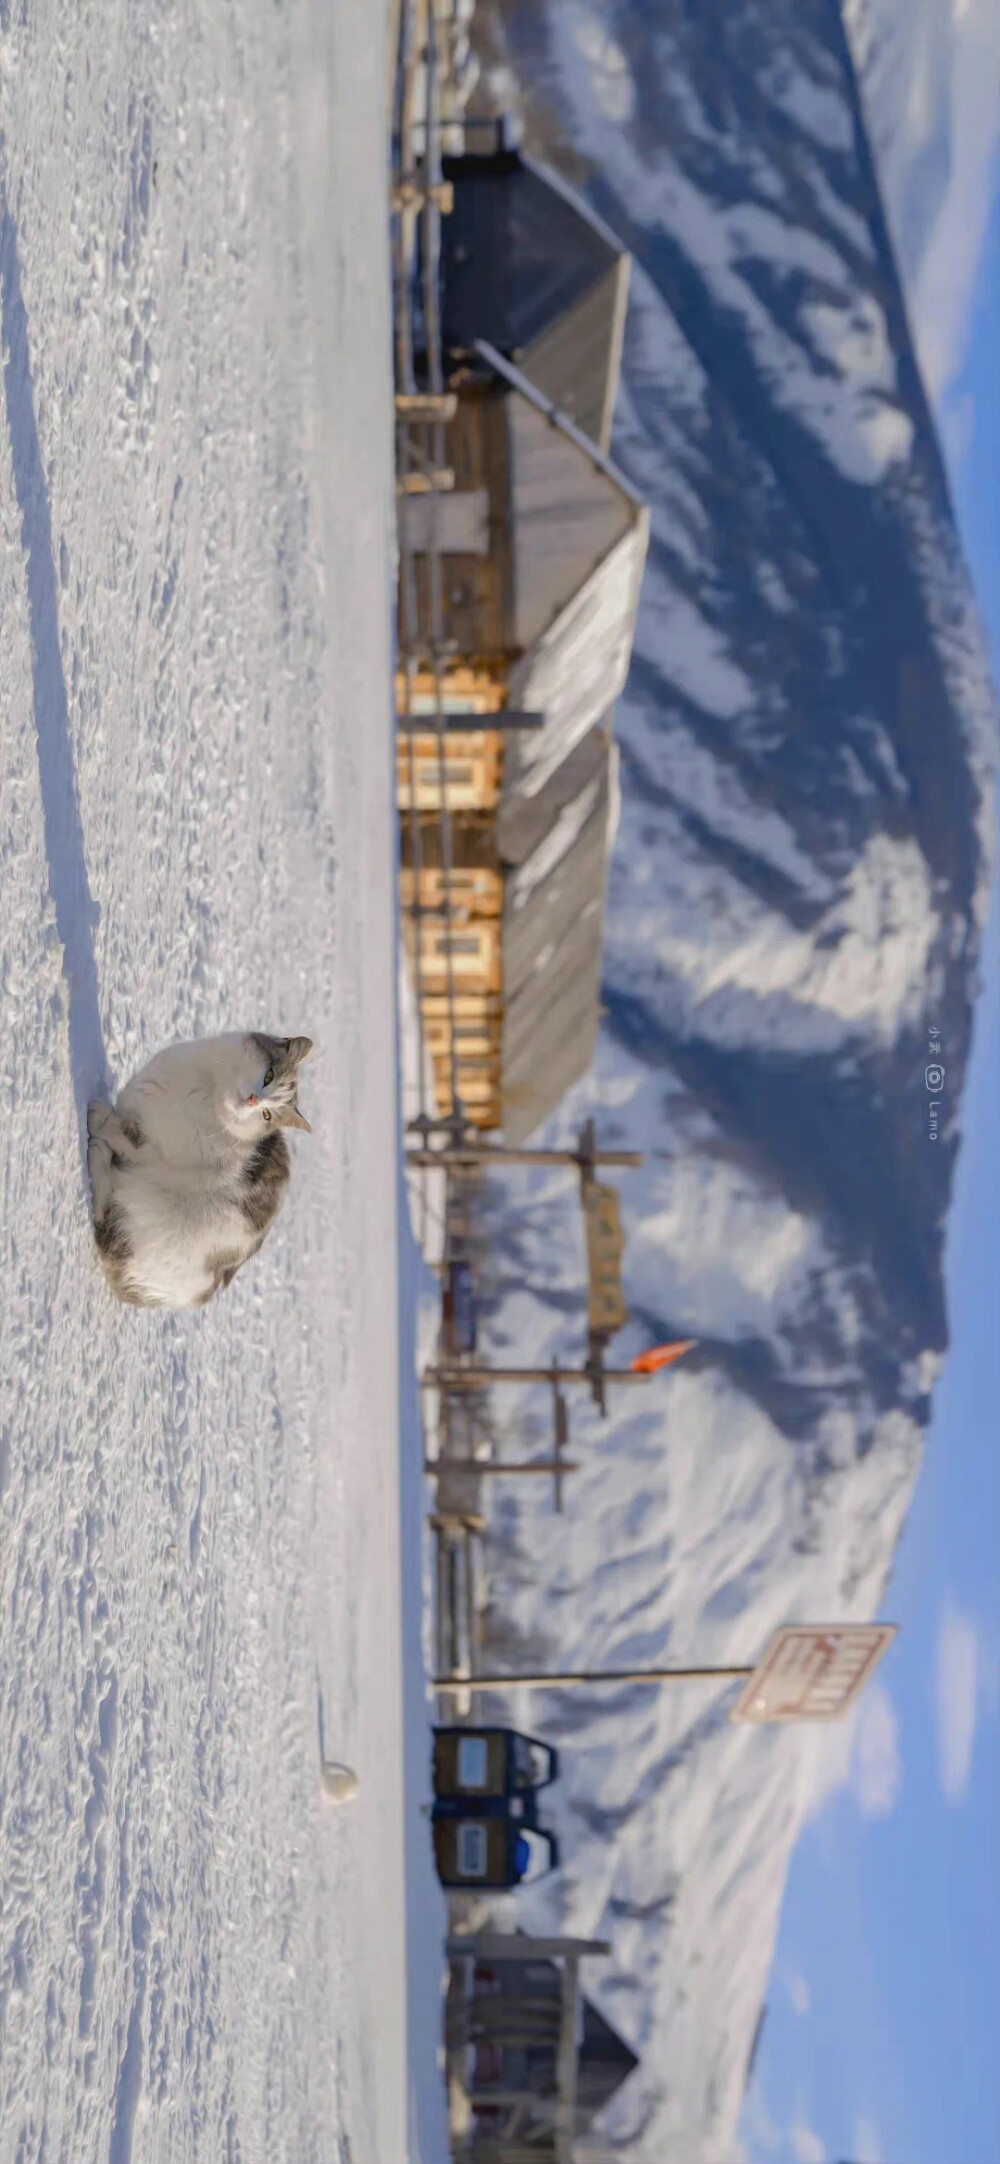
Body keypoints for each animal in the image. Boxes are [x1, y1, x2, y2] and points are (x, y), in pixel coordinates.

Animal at [87, 1025, 311, 1307]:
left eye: (266, 1115)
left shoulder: (149, 1150)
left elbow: (122, 1136)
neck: (206, 1092)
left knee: (104, 1217)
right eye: (269, 1076)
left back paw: (97, 1150)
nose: (253, 1101)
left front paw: (101, 1121)